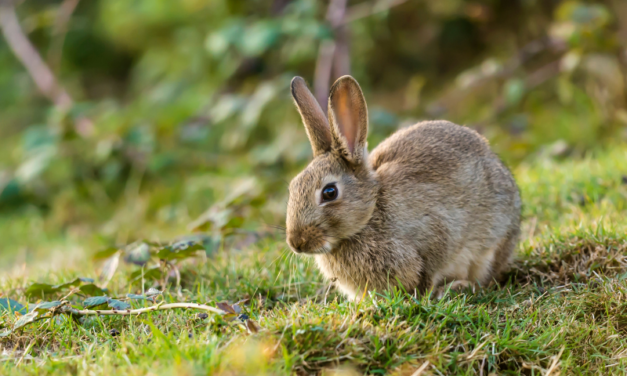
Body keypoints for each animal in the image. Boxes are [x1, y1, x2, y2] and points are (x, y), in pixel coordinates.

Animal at [284, 75, 520, 300]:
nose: (296, 243)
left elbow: (429, 271)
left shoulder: (437, 232)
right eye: (293, 186)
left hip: (491, 247)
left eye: (329, 192)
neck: (370, 214)